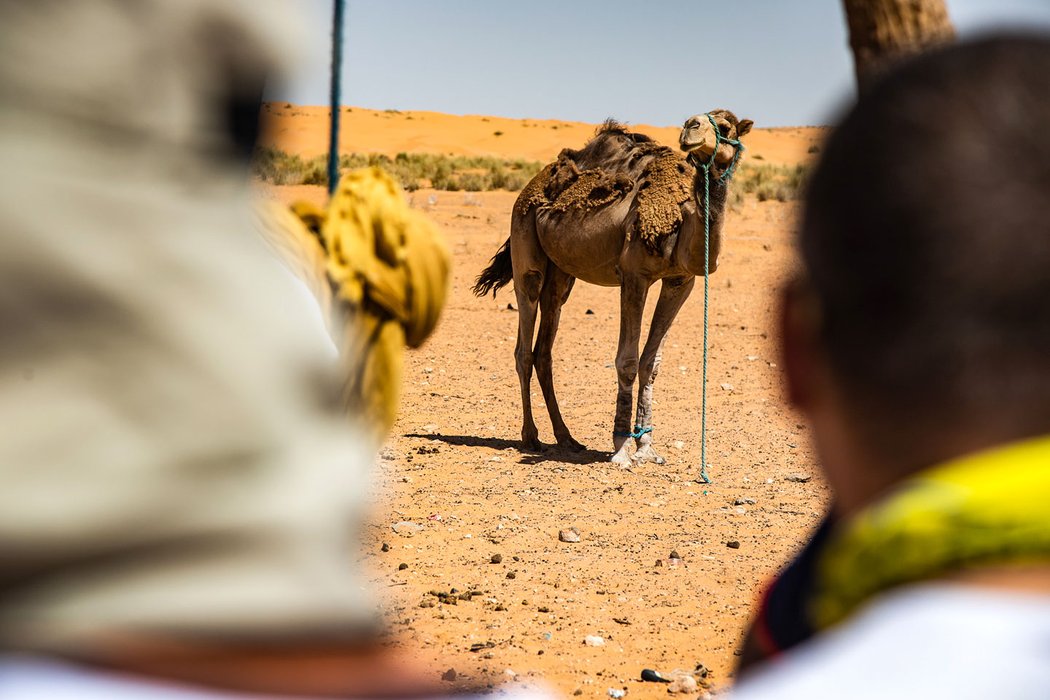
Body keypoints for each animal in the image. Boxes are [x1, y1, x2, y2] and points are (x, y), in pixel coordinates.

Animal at [472, 110, 751, 465]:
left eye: (726, 126)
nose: (691, 127)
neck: (681, 221)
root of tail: (529, 187)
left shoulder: (680, 281)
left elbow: (651, 363)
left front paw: (647, 447)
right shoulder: (634, 275)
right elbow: (628, 361)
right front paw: (621, 448)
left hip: (561, 274)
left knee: (544, 348)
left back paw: (566, 437)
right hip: (525, 251)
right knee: (524, 345)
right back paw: (531, 436)